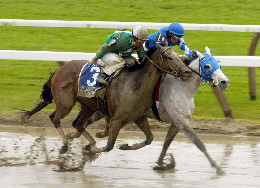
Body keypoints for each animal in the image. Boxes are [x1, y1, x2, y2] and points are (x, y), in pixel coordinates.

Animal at [23, 44, 192, 154]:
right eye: (169, 57)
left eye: (180, 56)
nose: (187, 72)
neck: (135, 84)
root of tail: (60, 69)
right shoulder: (117, 120)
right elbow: (110, 145)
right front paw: (91, 150)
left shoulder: (139, 117)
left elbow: (150, 138)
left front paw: (125, 146)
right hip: (66, 104)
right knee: (55, 118)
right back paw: (66, 144)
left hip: (88, 106)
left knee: (78, 123)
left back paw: (89, 141)